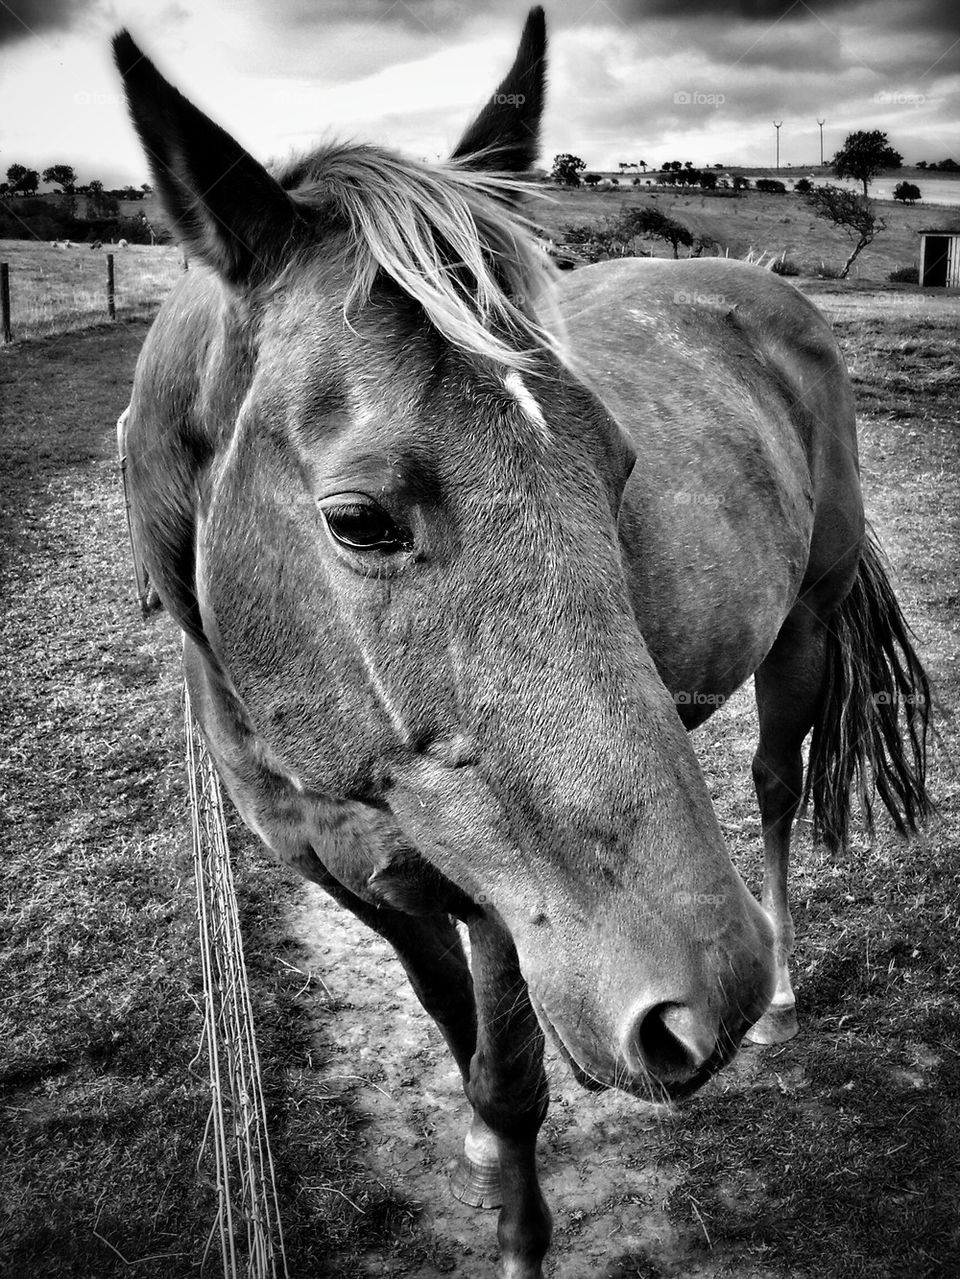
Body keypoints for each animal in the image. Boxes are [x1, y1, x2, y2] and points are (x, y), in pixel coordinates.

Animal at [113, 10, 931, 1277]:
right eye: (359, 518)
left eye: (618, 461)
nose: (712, 990)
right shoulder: (372, 888)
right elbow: (454, 1033)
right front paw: (482, 1157)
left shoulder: (507, 905)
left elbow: (510, 1082)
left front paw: (518, 1226)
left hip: (801, 628)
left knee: (775, 784)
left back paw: (790, 975)